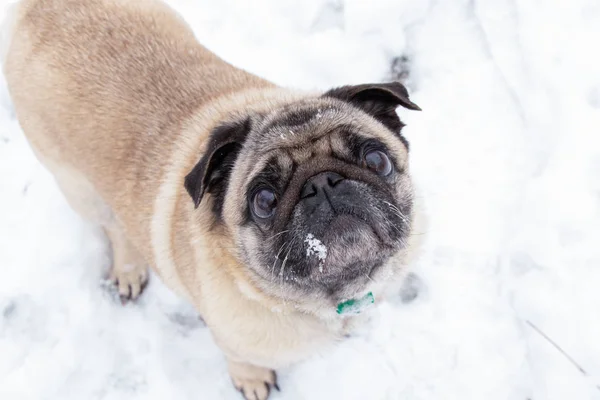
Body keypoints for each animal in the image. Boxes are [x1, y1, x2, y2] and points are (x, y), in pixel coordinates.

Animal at [4, 0, 424, 396]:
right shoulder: (234, 340)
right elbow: (241, 361)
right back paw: (128, 269)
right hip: (77, 187)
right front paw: (252, 380)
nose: (322, 184)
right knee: (114, 228)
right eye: (264, 201)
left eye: (377, 160)